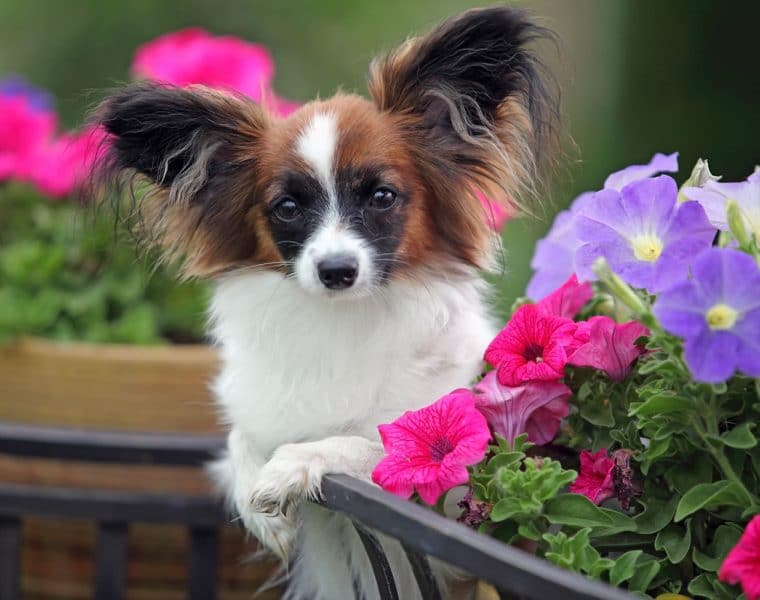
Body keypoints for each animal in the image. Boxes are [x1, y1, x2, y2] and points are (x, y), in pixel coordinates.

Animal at [95, 7, 560, 596]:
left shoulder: (457, 479)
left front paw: (292, 464)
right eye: (288, 208)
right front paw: (259, 504)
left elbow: (369, 444)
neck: (343, 322)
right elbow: (241, 438)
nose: (336, 270)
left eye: (382, 197)